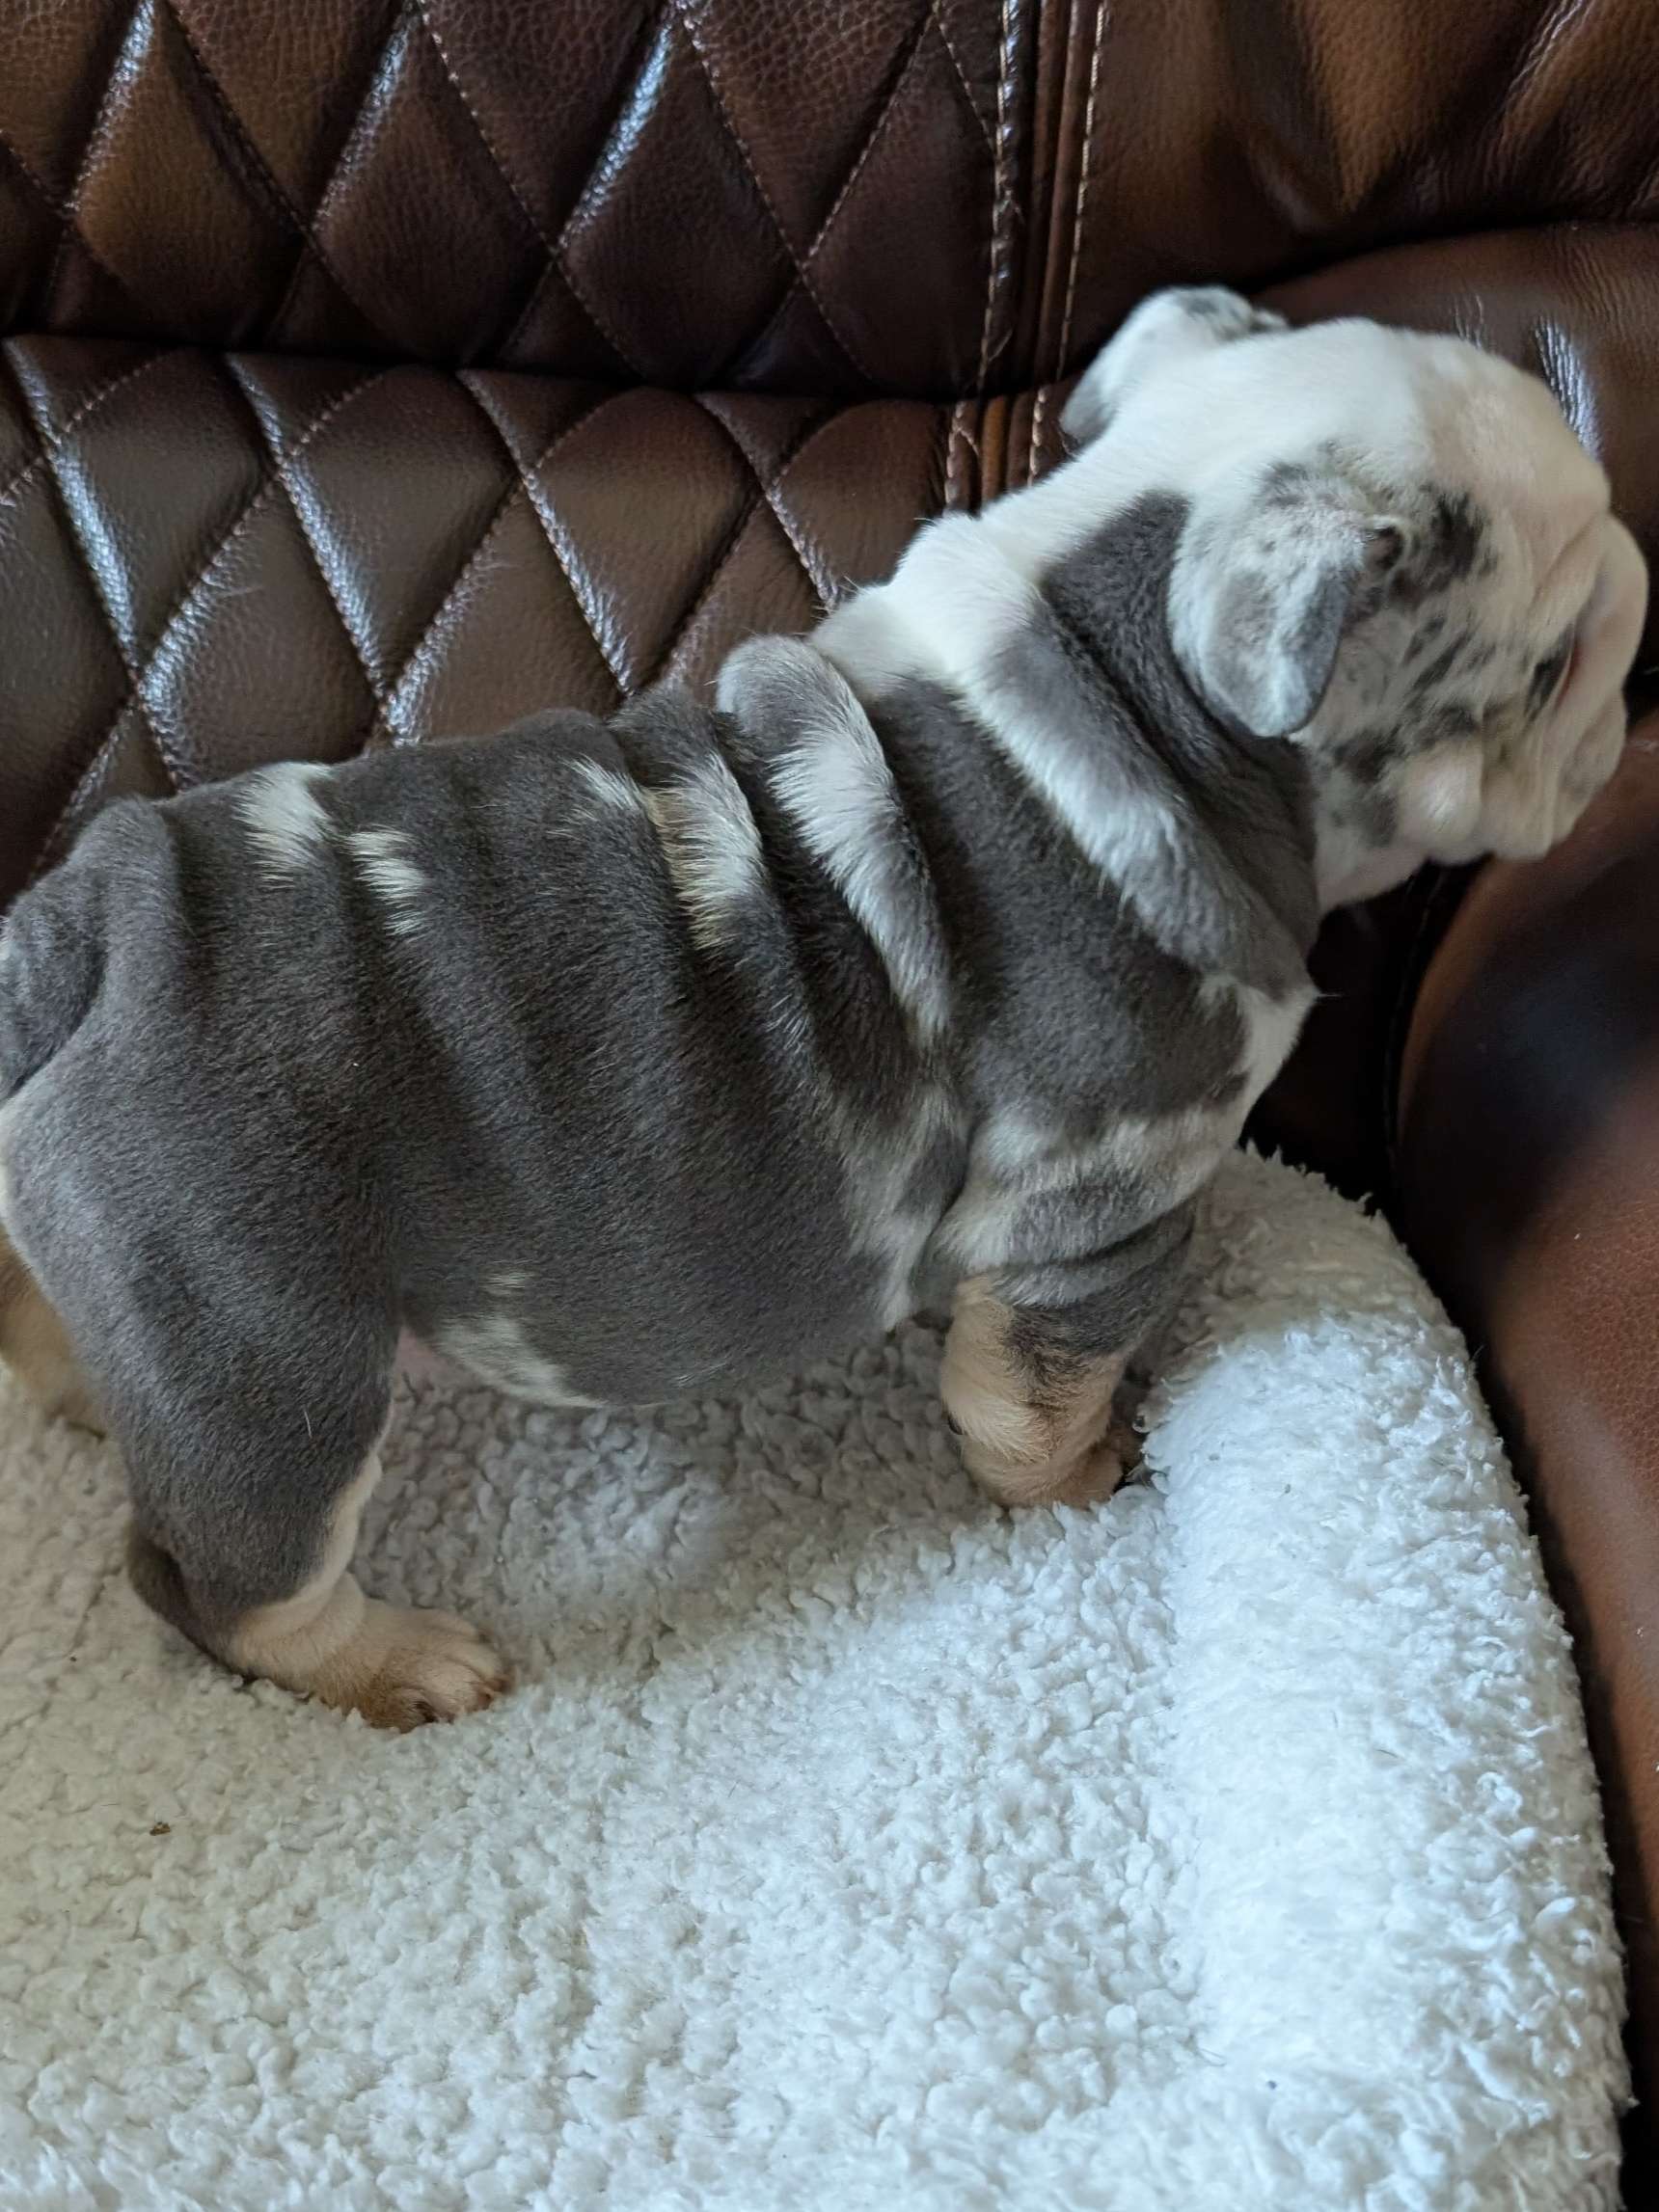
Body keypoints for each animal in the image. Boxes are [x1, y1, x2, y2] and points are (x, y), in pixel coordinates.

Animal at [0, 288, 1645, 1727]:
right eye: (1552, 661)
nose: (1636, 609)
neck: (1118, 687)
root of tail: (89, 929)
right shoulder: (1094, 1216)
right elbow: (1033, 1396)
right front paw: (1082, 1475)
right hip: (275, 1364)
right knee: (220, 1583)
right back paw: (399, 1664)